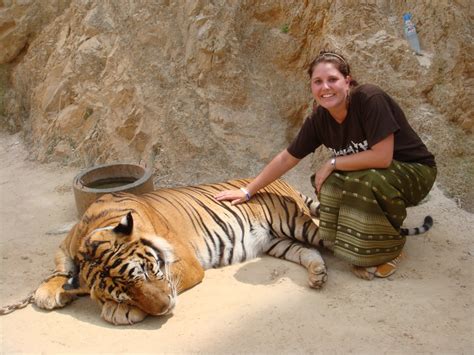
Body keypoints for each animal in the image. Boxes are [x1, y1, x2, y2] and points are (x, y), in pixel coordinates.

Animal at [35, 181, 328, 326]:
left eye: (143, 272)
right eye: (123, 293)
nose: (165, 307)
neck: (95, 230)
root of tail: (283, 181)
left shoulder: (186, 262)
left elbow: (170, 279)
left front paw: (119, 312)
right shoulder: (66, 245)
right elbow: (60, 267)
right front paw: (48, 291)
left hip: (292, 222)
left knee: (324, 238)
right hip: (276, 241)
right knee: (308, 252)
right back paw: (317, 274)